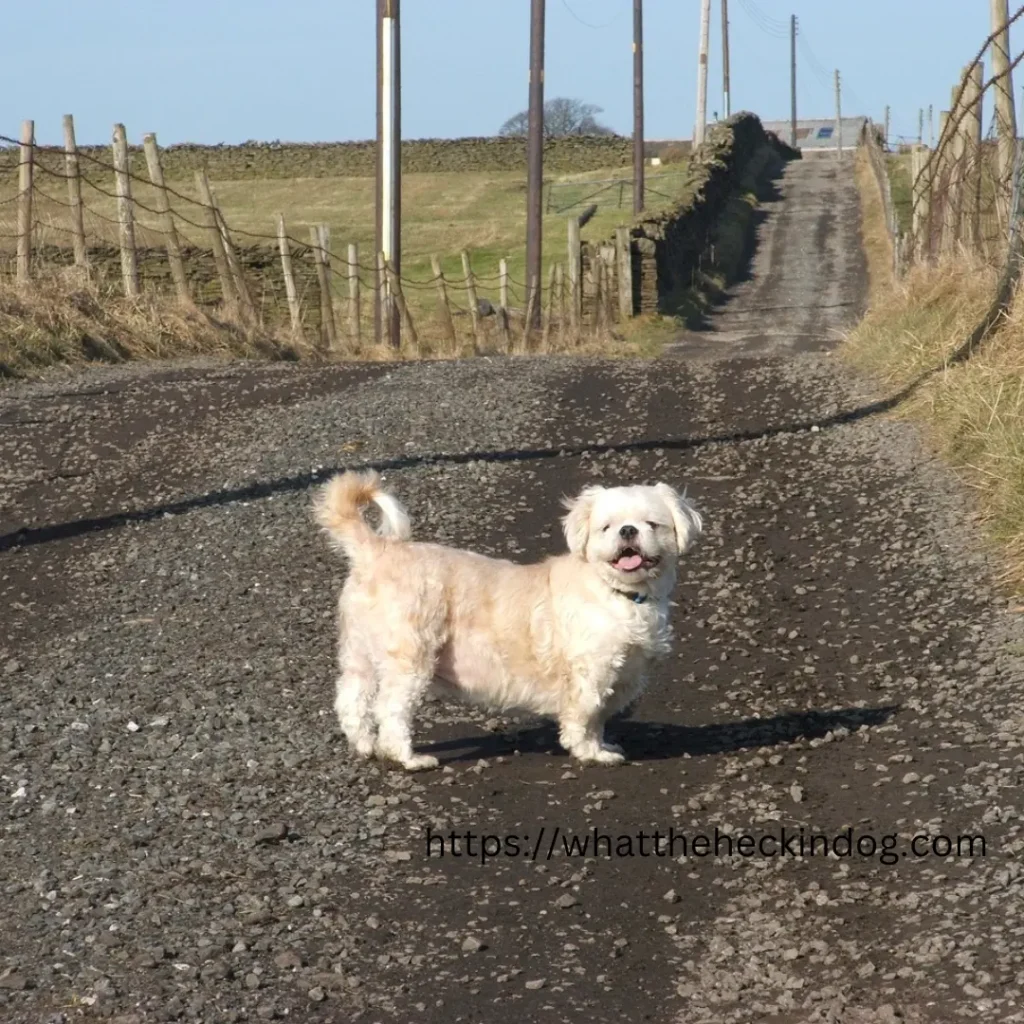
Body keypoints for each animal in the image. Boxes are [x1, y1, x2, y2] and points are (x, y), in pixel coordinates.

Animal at [315, 471, 704, 770]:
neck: (618, 595)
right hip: (410, 657)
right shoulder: (591, 672)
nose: (627, 531)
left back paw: (365, 745)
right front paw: (591, 753)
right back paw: (408, 758)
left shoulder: (623, 674)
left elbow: (600, 718)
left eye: (652, 524)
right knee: (391, 710)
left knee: (351, 698)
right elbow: (586, 715)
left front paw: (601, 746)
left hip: (360, 652)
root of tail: (376, 551)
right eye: (606, 528)